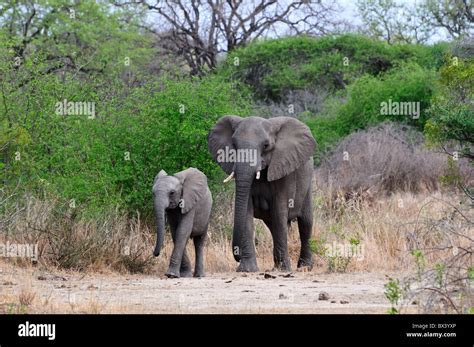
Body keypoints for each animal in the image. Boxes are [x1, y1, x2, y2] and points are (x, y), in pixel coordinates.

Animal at [209, 115, 316, 274]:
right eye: (234, 144)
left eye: (266, 145)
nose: (237, 255)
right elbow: (246, 214)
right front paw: (247, 269)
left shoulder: (283, 169)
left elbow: (279, 212)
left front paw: (284, 270)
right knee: (273, 226)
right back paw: (276, 267)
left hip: (307, 184)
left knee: (305, 222)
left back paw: (304, 267)